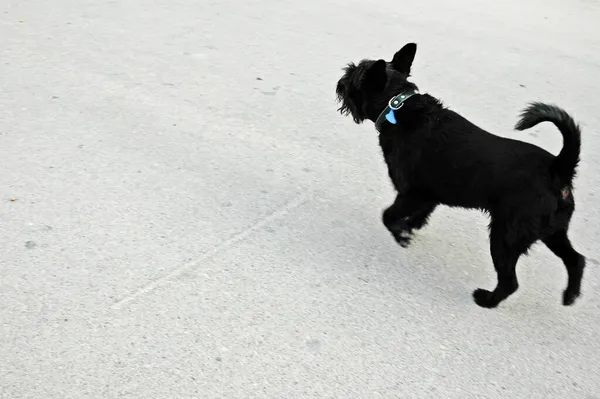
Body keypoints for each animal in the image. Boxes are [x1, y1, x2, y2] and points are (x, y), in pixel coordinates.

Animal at [338, 43, 584, 310]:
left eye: (353, 76)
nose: (340, 82)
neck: (399, 108)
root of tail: (557, 168)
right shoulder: (427, 198)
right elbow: (417, 216)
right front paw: (409, 228)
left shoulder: (412, 194)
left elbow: (388, 216)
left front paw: (401, 234)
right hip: (552, 232)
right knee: (576, 260)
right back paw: (570, 295)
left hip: (506, 237)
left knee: (511, 282)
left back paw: (487, 300)